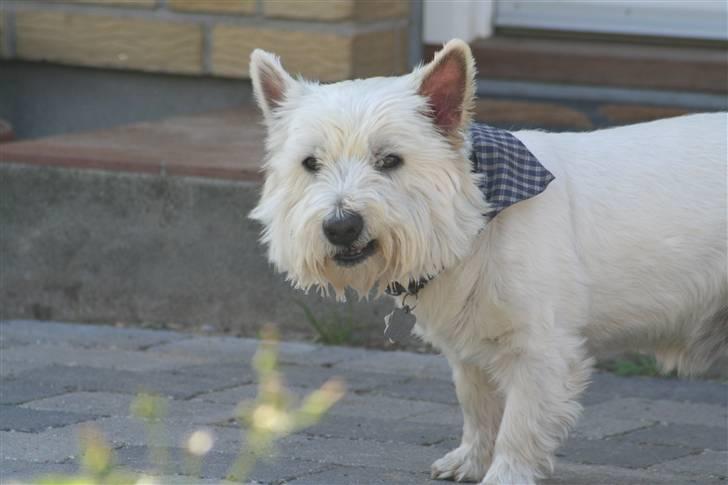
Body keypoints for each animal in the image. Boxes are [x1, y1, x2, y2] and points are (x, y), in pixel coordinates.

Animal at [247, 39, 724, 482]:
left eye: (390, 160)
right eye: (310, 163)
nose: (341, 227)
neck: (479, 220)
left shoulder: (540, 347)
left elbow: (520, 422)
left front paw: (505, 473)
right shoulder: (469, 346)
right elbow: (478, 407)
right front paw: (470, 461)